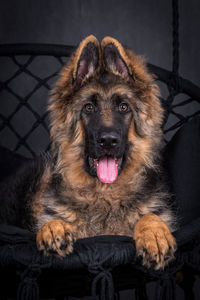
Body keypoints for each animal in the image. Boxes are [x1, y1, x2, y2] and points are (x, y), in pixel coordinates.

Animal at [1, 35, 177, 270]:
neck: (104, 194)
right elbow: (53, 219)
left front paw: (155, 234)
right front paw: (53, 227)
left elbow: (149, 215)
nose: (108, 141)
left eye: (124, 107)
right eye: (88, 108)